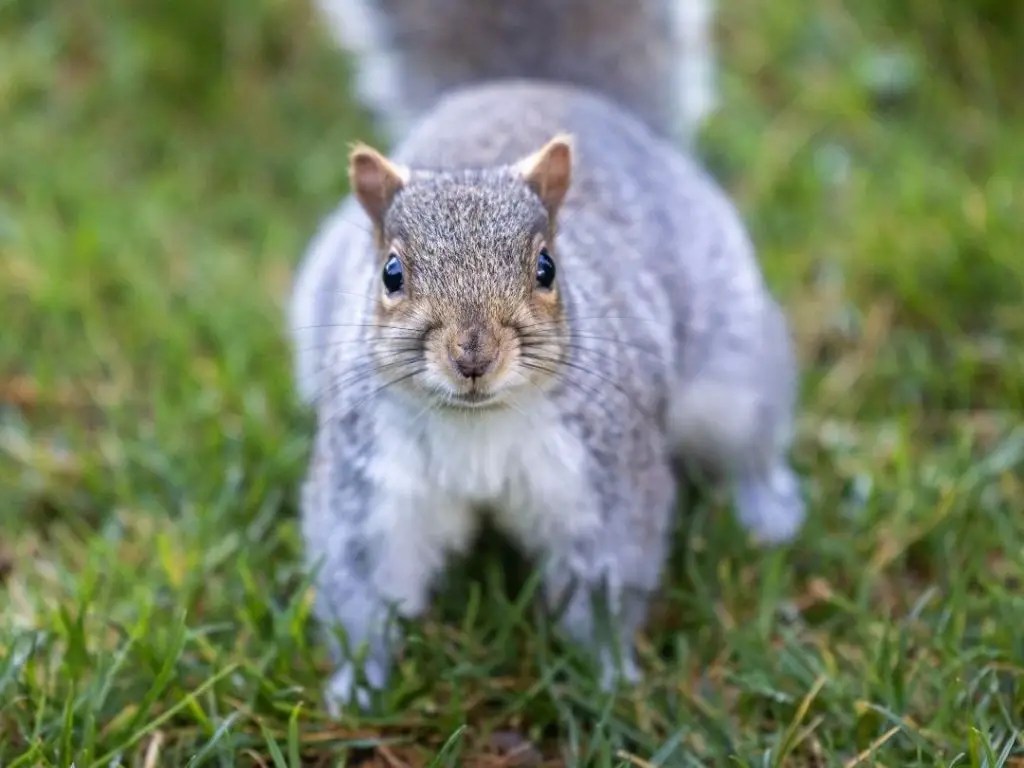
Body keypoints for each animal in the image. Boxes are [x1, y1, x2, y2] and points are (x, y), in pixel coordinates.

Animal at [288, 0, 805, 712]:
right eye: (390, 274)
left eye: (546, 268)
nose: (473, 356)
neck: (477, 426)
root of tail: (535, 85)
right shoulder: (371, 492)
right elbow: (361, 589)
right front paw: (358, 687)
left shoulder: (605, 481)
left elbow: (606, 586)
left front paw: (609, 681)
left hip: (732, 365)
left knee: (748, 437)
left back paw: (766, 507)